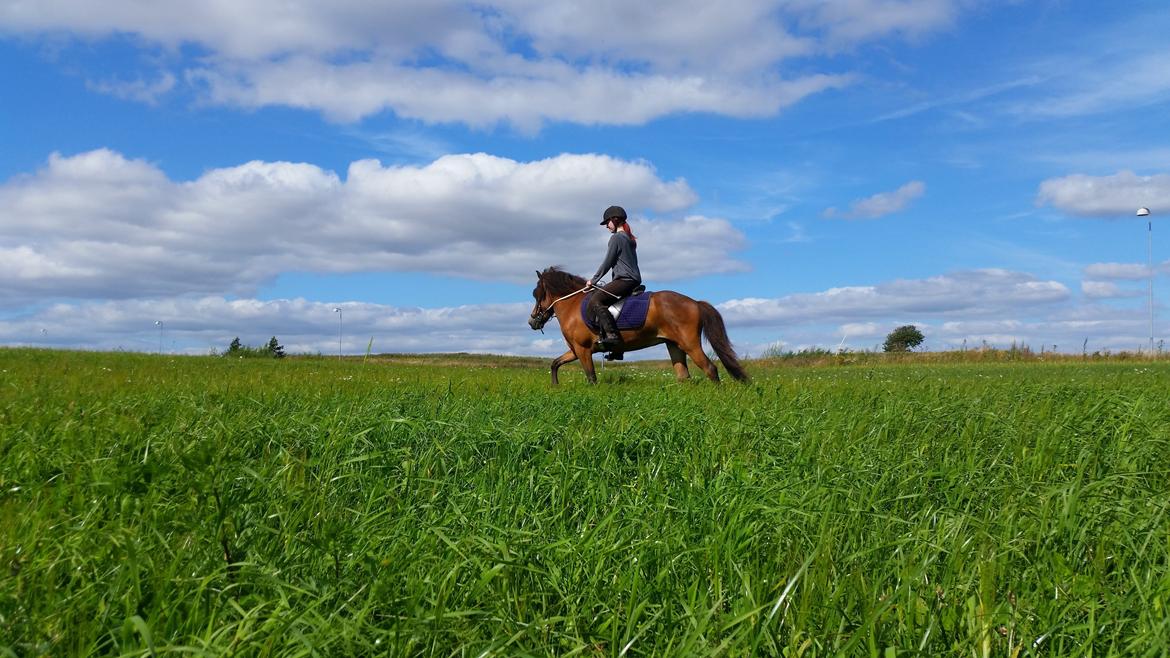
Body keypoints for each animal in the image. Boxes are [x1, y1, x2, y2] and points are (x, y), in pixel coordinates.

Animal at [531, 266, 748, 384]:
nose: (532, 321)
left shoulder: (583, 350)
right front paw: (555, 386)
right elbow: (555, 363)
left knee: (710, 369)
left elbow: (591, 378)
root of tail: (695, 302)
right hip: (674, 345)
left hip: (690, 344)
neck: (573, 304)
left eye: (536, 294)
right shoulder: (576, 350)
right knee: (683, 376)